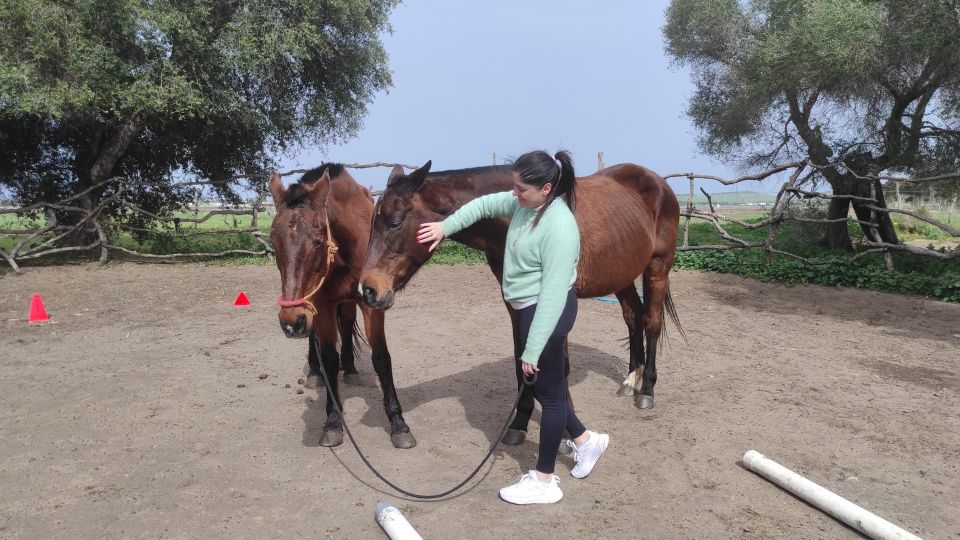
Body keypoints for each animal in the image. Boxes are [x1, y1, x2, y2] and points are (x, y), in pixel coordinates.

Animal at [270, 162, 420, 450]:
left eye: (318, 241)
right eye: (273, 243)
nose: (291, 322)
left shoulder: (371, 302)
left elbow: (381, 357)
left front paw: (399, 425)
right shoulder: (322, 305)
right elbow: (329, 358)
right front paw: (332, 421)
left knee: (348, 325)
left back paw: (349, 368)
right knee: (316, 338)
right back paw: (315, 372)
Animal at [358, 161, 684, 448]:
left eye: (395, 223)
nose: (368, 290)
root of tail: (658, 183)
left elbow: (559, 367)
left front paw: (565, 434)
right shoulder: (515, 302)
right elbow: (521, 357)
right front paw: (519, 424)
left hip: (657, 268)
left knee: (652, 322)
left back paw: (646, 390)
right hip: (622, 276)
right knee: (633, 317)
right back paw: (630, 380)